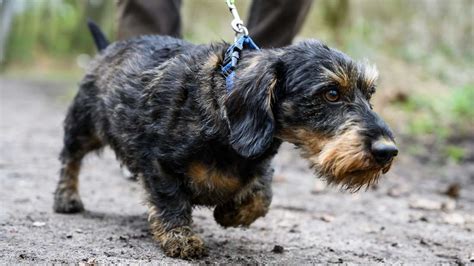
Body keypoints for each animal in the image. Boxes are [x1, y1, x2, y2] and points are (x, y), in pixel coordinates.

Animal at [53, 21, 398, 258]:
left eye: (369, 94)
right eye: (331, 93)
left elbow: (262, 196)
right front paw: (180, 237)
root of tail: (108, 48)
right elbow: (170, 199)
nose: (388, 151)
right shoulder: (159, 163)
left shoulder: (260, 164)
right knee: (70, 159)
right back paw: (66, 197)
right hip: (83, 127)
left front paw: (231, 213)